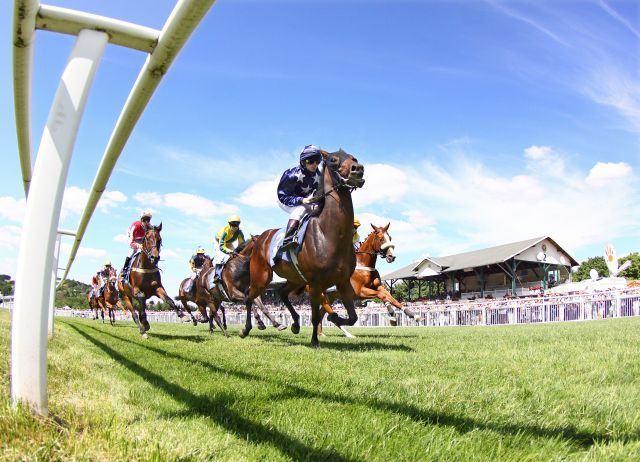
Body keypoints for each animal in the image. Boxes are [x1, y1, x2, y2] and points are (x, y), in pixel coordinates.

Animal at [245, 148, 364, 346]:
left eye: (353, 157)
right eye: (333, 160)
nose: (358, 169)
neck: (329, 235)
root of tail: (260, 238)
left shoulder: (343, 282)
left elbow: (353, 317)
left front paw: (334, 317)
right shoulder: (315, 284)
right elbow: (315, 316)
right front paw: (315, 341)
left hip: (295, 279)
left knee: (281, 292)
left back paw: (294, 323)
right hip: (261, 277)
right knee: (249, 296)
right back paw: (246, 329)